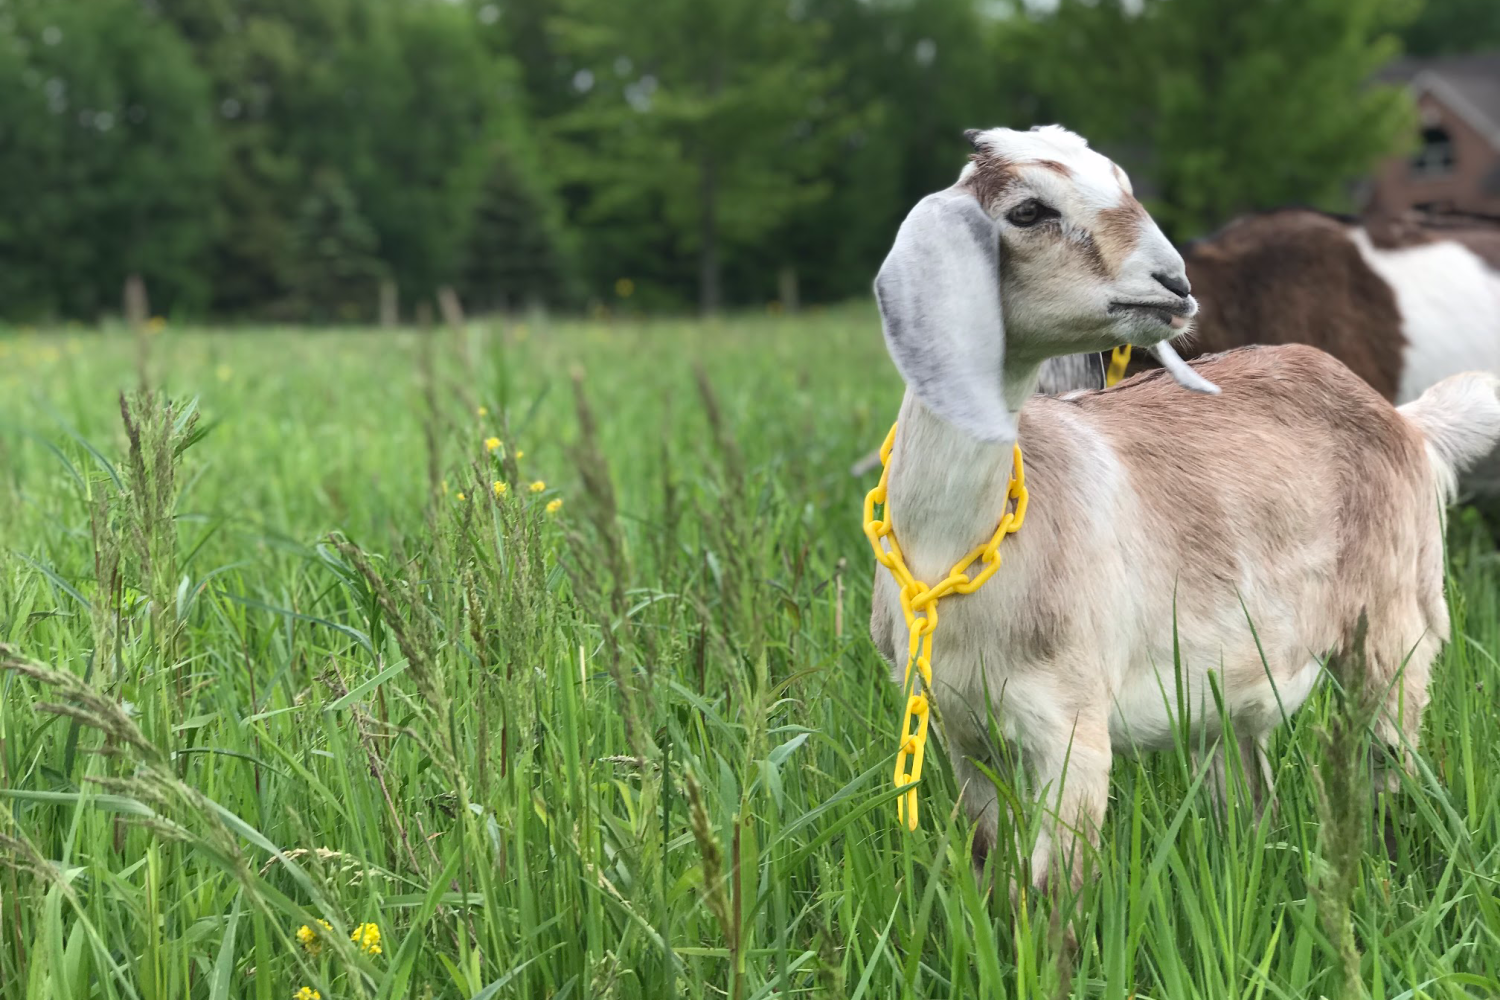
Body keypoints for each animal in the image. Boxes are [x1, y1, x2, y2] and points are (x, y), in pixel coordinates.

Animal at [870, 122, 1500, 893]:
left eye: (1123, 182)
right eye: (1028, 210)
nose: (1173, 286)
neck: (961, 549)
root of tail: (1409, 423)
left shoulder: (1072, 727)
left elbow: (1052, 898)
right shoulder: (964, 736)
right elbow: (993, 874)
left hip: (1393, 633)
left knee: (1387, 779)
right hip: (1230, 695)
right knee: (1253, 806)